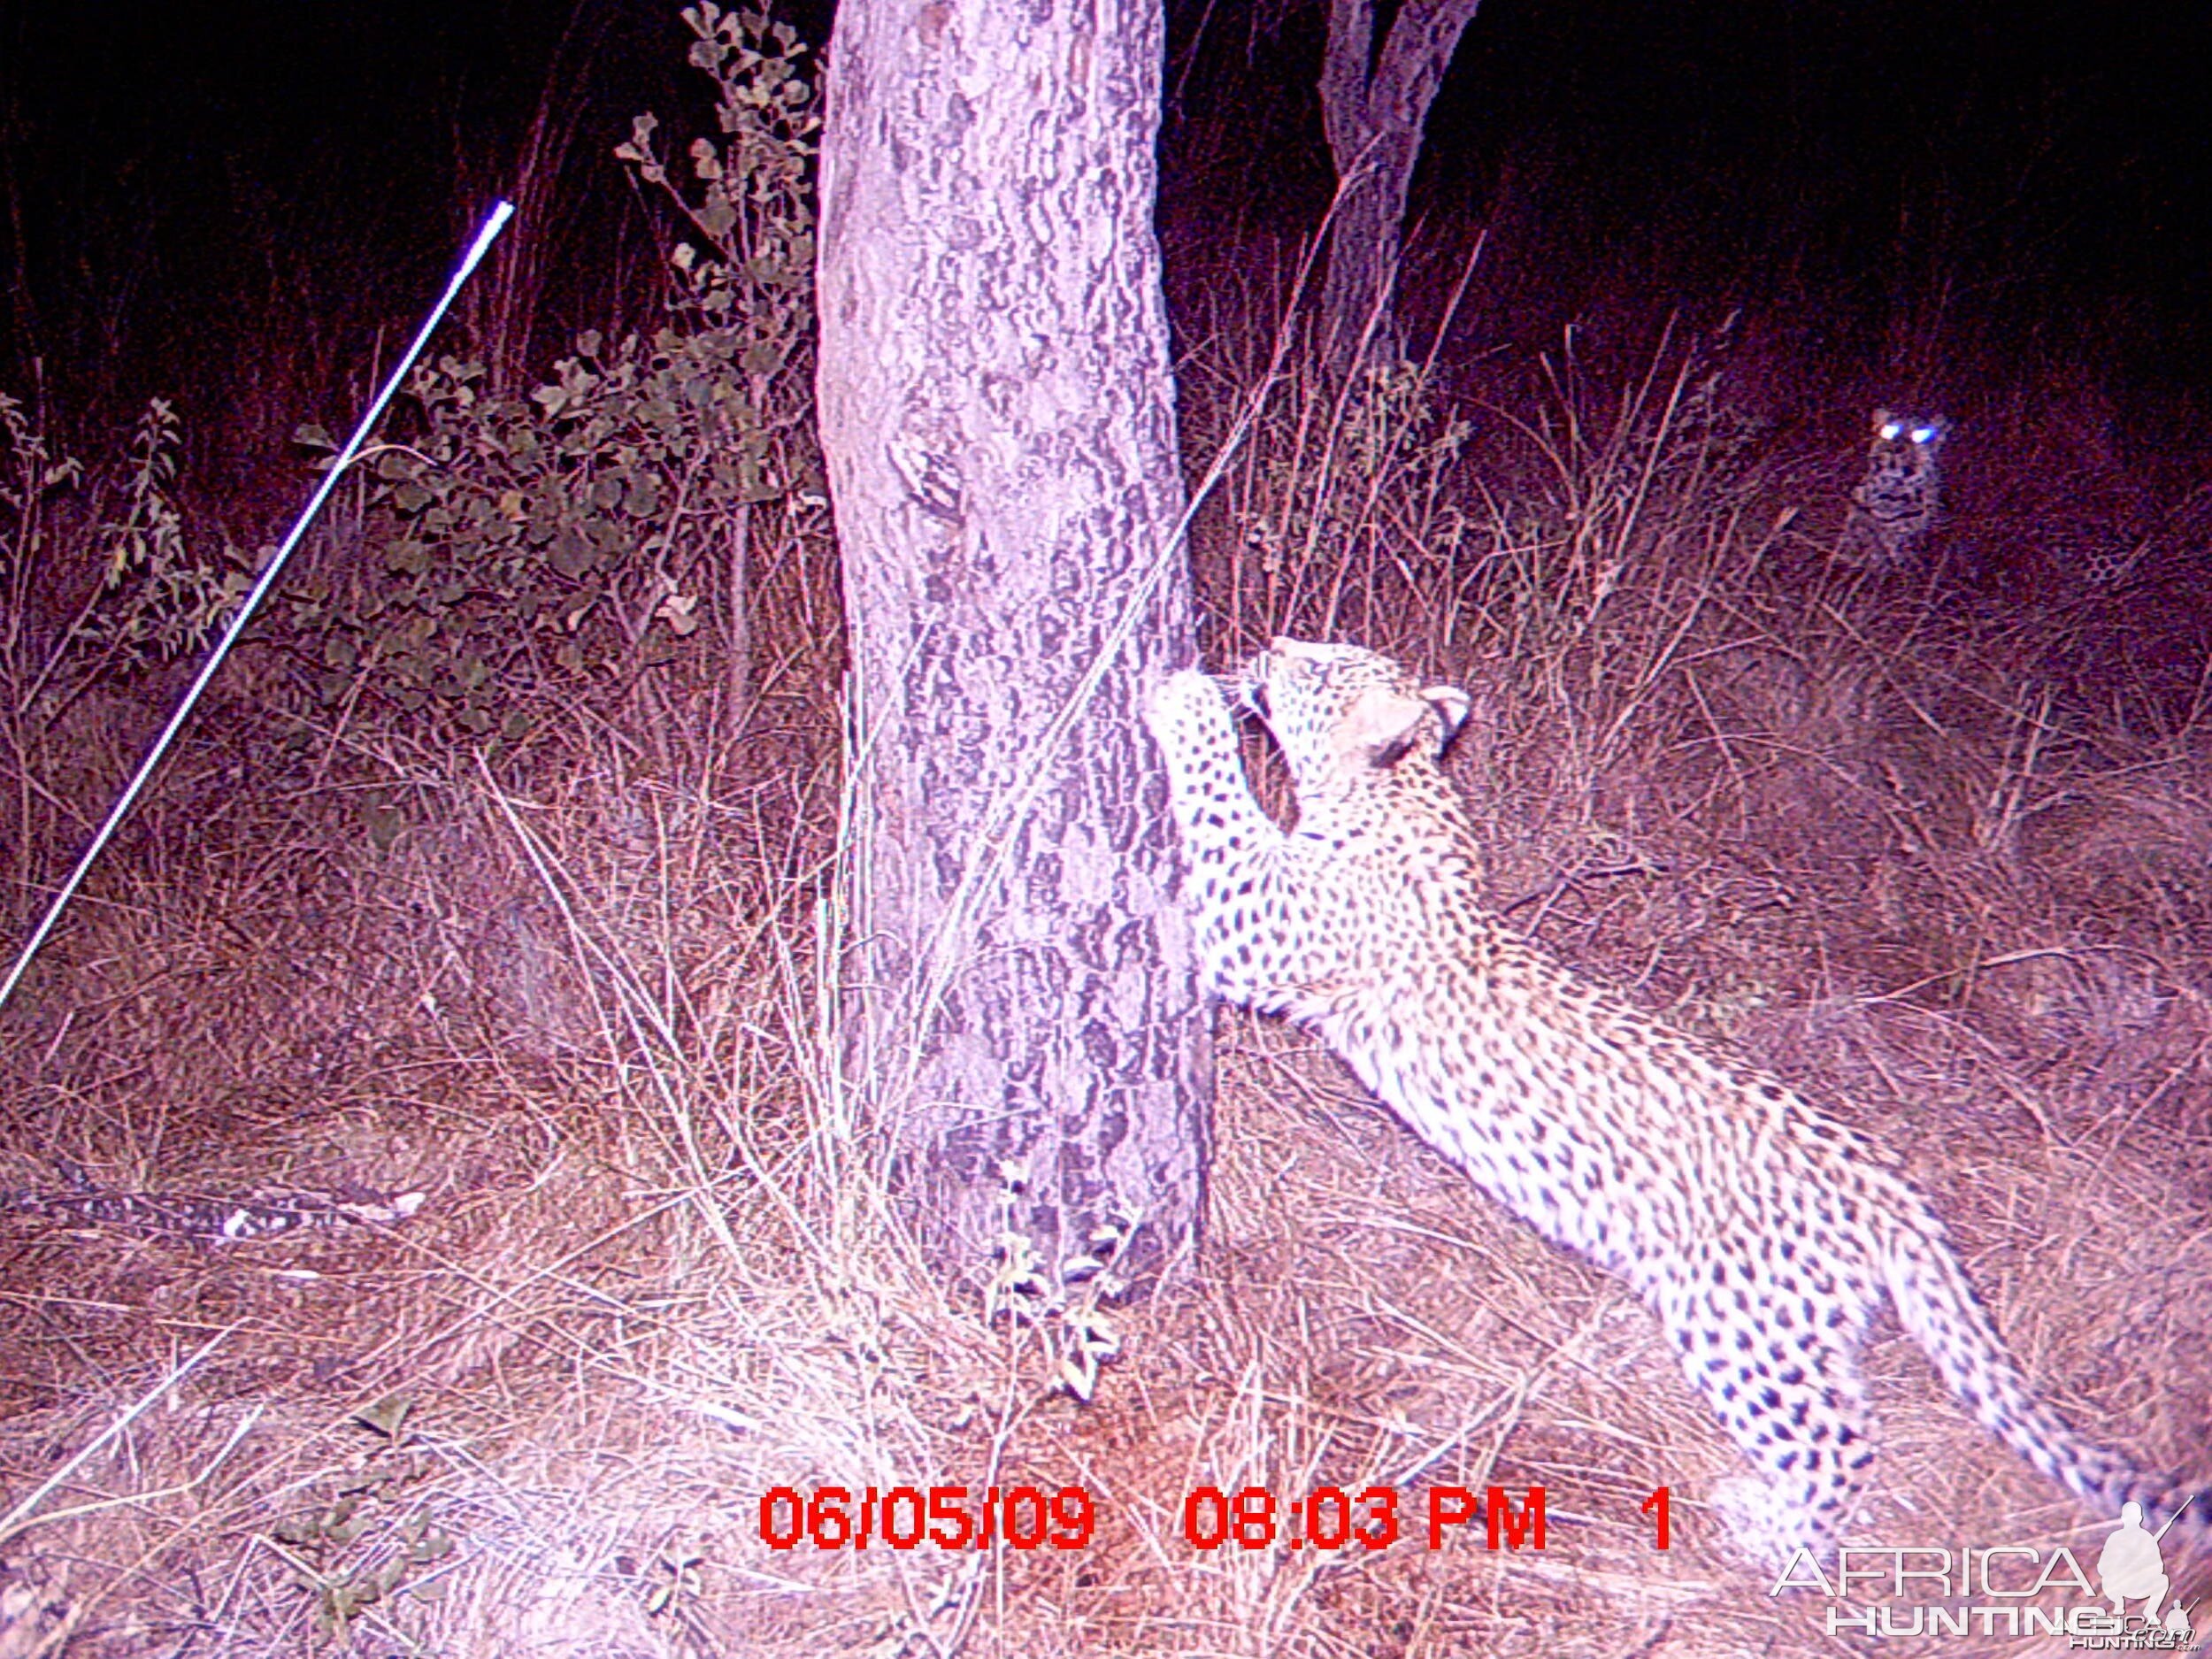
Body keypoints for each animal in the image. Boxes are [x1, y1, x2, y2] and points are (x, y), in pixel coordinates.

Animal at [1150, 637, 2203, 1575]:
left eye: (1314, 665)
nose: (1268, 644)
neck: (1401, 798)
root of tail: (1885, 1183)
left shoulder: (1258, 926)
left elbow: (1222, 811)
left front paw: (1181, 696)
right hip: (1799, 1330)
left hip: (1744, 1326)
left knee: (1843, 1446)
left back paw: (1774, 1547)